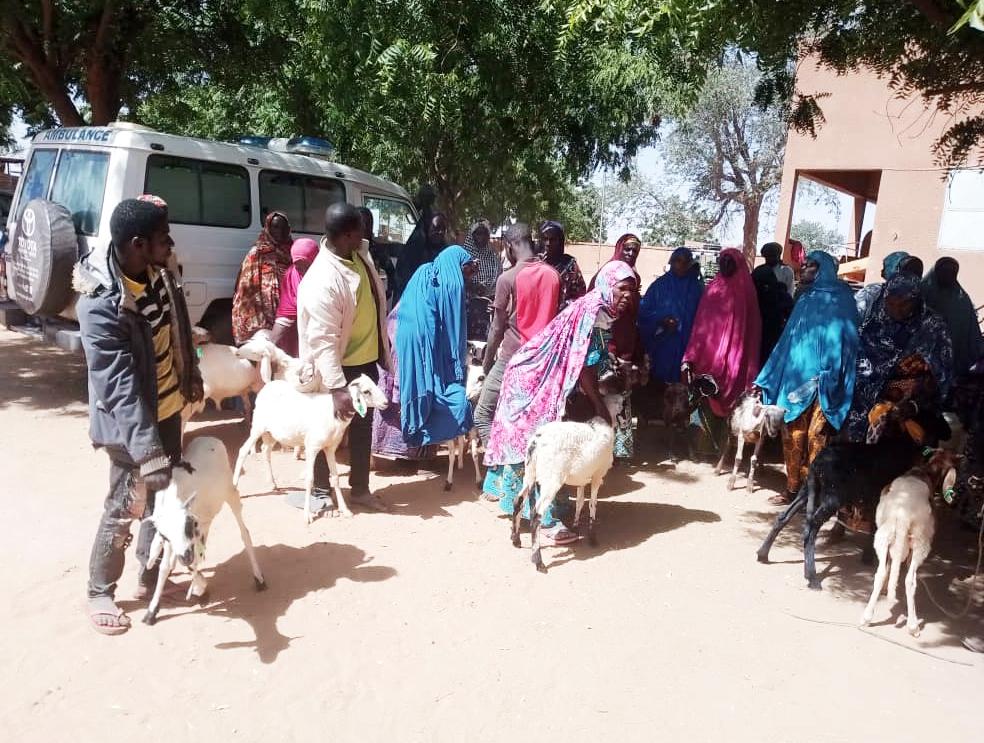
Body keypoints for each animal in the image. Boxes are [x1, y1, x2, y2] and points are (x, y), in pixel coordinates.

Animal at [142, 438, 266, 624]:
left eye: (187, 524)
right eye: (165, 535)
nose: (185, 556)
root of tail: (210, 438)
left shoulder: (194, 530)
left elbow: (190, 561)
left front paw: (200, 587)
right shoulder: (176, 540)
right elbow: (165, 566)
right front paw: (152, 610)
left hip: (230, 492)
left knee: (244, 533)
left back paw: (259, 578)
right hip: (207, 516)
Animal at [233, 378, 386, 524]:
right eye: (366, 391)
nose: (386, 403)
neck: (334, 411)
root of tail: (269, 385)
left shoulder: (330, 447)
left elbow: (335, 478)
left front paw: (345, 510)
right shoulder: (312, 447)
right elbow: (310, 479)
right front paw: (307, 515)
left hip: (271, 433)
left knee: (265, 450)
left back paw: (272, 483)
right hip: (258, 427)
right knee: (243, 451)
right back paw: (235, 485)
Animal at [508, 396, 624, 576]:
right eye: (623, 404)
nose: (626, 422)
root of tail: (537, 440)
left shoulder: (582, 478)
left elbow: (580, 502)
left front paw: (576, 528)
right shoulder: (597, 475)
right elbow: (592, 504)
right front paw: (592, 538)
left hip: (530, 472)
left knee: (518, 500)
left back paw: (516, 539)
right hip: (551, 480)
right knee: (536, 514)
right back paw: (538, 562)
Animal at [752, 438, 924, 588]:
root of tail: (818, 461)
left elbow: (874, 527)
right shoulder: (877, 498)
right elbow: (874, 528)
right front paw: (869, 556)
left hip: (808, 490)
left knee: (783, 517)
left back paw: (763, 554)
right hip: (832, 498)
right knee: (810, 528)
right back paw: (812, 577)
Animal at [860, 444, 960, 636]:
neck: (926, 471)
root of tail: (903, 513)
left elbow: (889, 566)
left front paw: (886, 588)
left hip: (883, 536)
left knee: (880, 573)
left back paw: (867, 617)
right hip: (921, 542)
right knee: (910, 580)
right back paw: (913, 626)